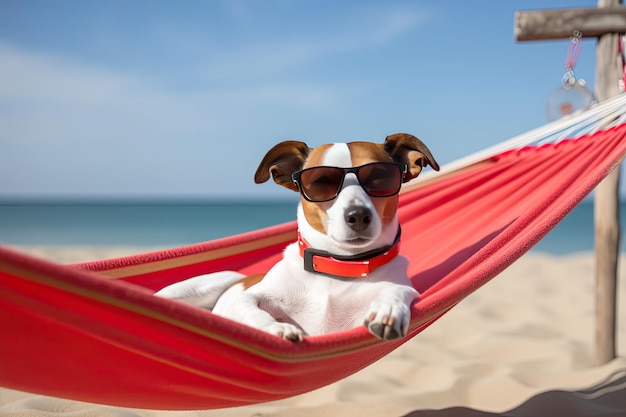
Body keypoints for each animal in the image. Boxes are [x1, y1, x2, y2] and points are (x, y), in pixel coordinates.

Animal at [156, 133, 438, 342]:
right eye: (321, 181)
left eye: (380, 177)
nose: (358, 215)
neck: (337, 268)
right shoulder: (249, 297)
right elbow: (251, 308)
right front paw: (277, 328)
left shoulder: (402, 287)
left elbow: (398, 290)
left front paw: (388, 310)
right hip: (197, 288)